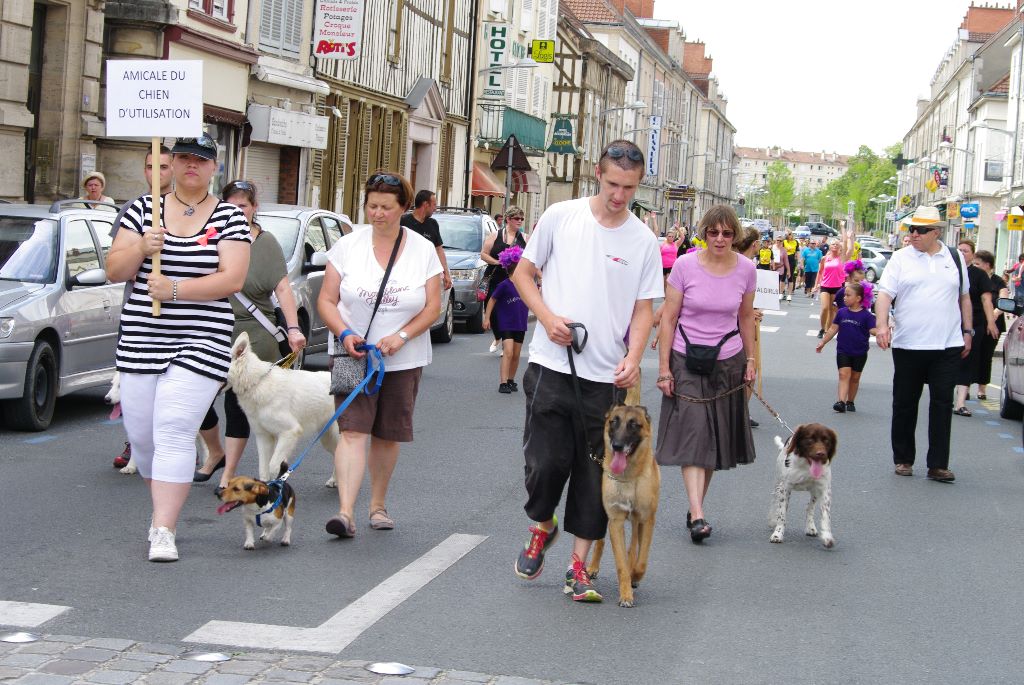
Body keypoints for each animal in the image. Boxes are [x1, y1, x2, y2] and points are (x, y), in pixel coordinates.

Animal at [228, 331, 339, 485]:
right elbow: (263, 470)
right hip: (327, 438)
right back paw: (335, 480)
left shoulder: (289, 432)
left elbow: (274, 466)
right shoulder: (263, 437)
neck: (257, 382)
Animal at [589, 403, 659, 606]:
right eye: (614, 422)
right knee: (600, 540)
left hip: (638, 521)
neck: (629, 476)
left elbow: (641, 561)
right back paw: (592, 567)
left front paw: (635, 576)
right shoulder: (616, 522)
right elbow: (621, 564)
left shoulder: (646, 520)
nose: (617, 446)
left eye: (633, 424)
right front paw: (626, 594)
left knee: (635, 545)